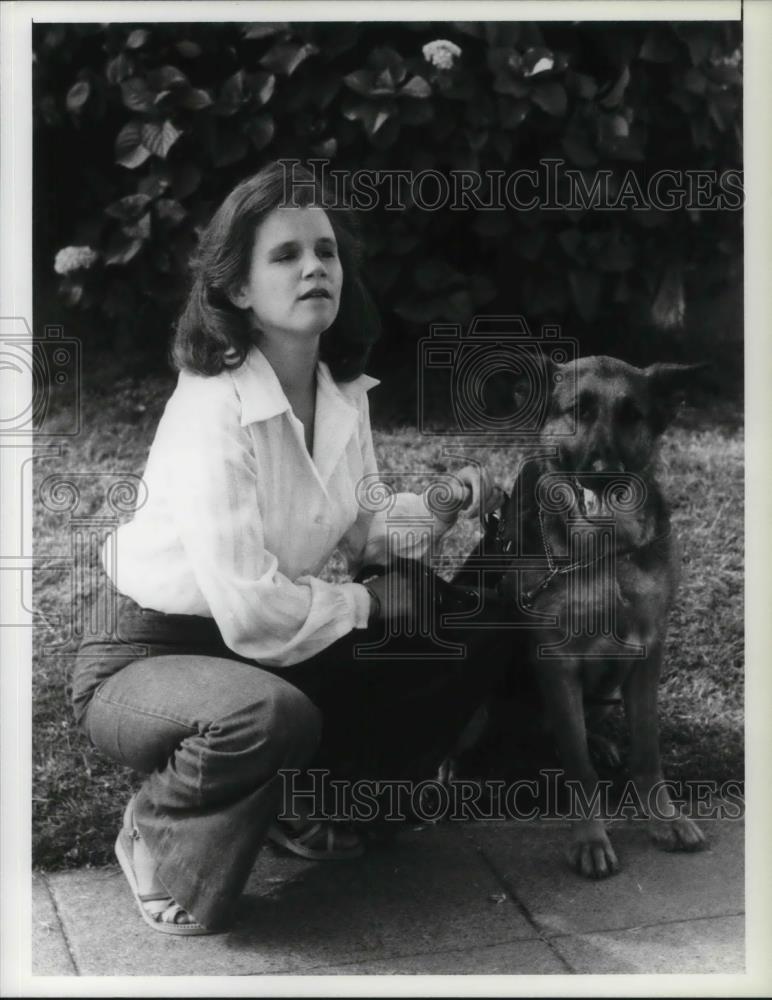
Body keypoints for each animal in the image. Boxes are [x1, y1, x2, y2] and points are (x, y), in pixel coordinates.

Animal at [456, 356, 708, 880]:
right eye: (578, 411)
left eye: (633, 415)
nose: (604, 475)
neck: (603, 549)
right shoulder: (556, 662)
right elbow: (577, 766)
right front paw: (590, 839)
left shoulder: (647, 651)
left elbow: (648, 749)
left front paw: (663, 817)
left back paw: (601, 741)